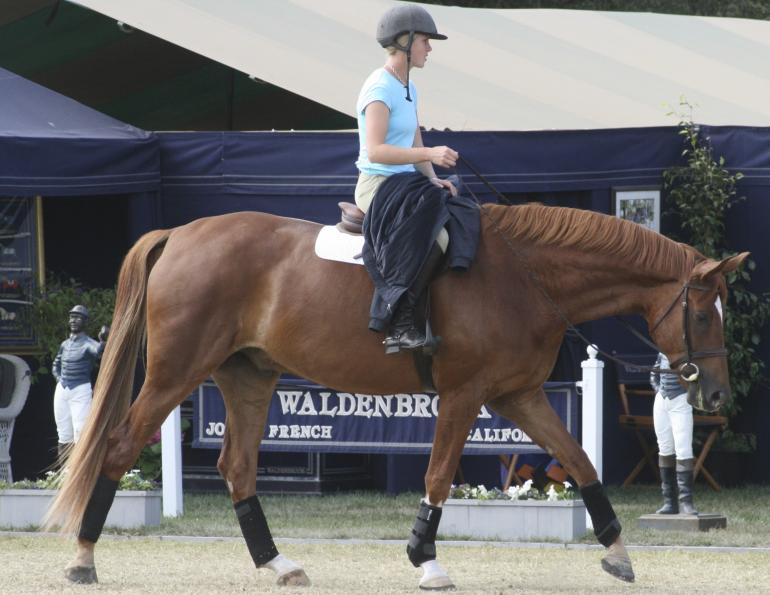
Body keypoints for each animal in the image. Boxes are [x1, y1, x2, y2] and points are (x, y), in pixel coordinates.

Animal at [44, 202, 747, 590]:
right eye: (703, 314)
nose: (715, 393)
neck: (525, 275)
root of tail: (183, 233)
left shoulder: (520, 396)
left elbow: (579, 460)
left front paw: (618, 551)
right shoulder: (465, 395)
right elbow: (438, 475)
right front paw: (425, 560)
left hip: (247, 376)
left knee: (236, 467)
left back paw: (279, 564)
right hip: (176, 373)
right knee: (118, 446)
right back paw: (82, 560)